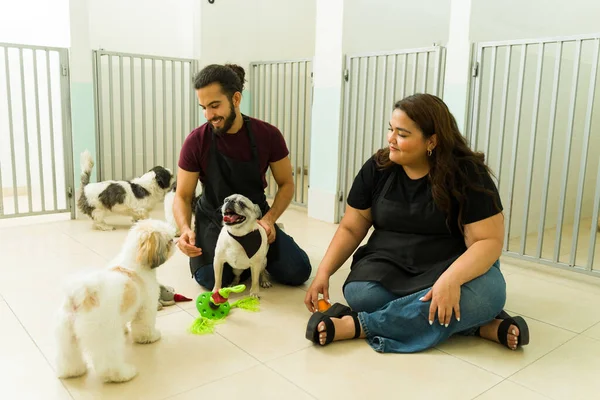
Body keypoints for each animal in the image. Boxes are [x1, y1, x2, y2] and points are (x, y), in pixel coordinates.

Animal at [54, 219, 177, 384]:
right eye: (169, 240)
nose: (175, 242)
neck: (134, 261)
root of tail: (82, 295)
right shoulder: (146, 307)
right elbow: (145, 326)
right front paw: (150, 337)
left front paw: (125, 329)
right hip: (105, 334)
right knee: (108, 365)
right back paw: (124, 374)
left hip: (67, 334)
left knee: (68, 357)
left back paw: (73, 371)